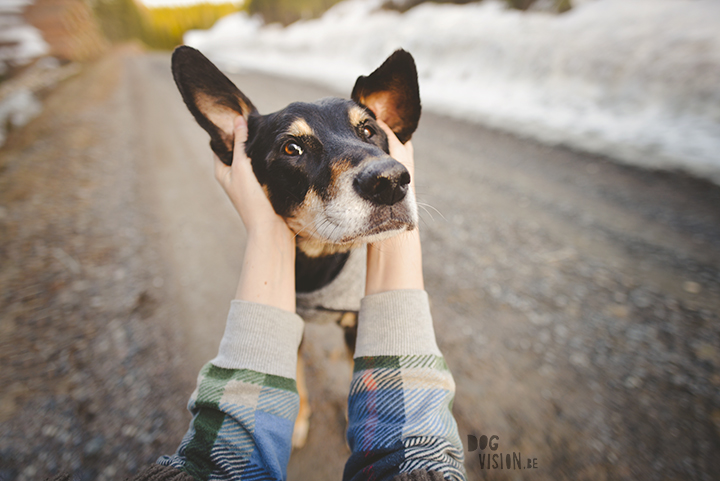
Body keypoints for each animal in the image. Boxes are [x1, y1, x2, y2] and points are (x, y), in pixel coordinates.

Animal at [171, 47, 422, 448]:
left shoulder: (356, 325)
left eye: (369, 130)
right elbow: (298, 379)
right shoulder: (293, 322)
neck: (319, 260)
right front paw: (300, 420)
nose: (390, 180)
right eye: (292, 148)